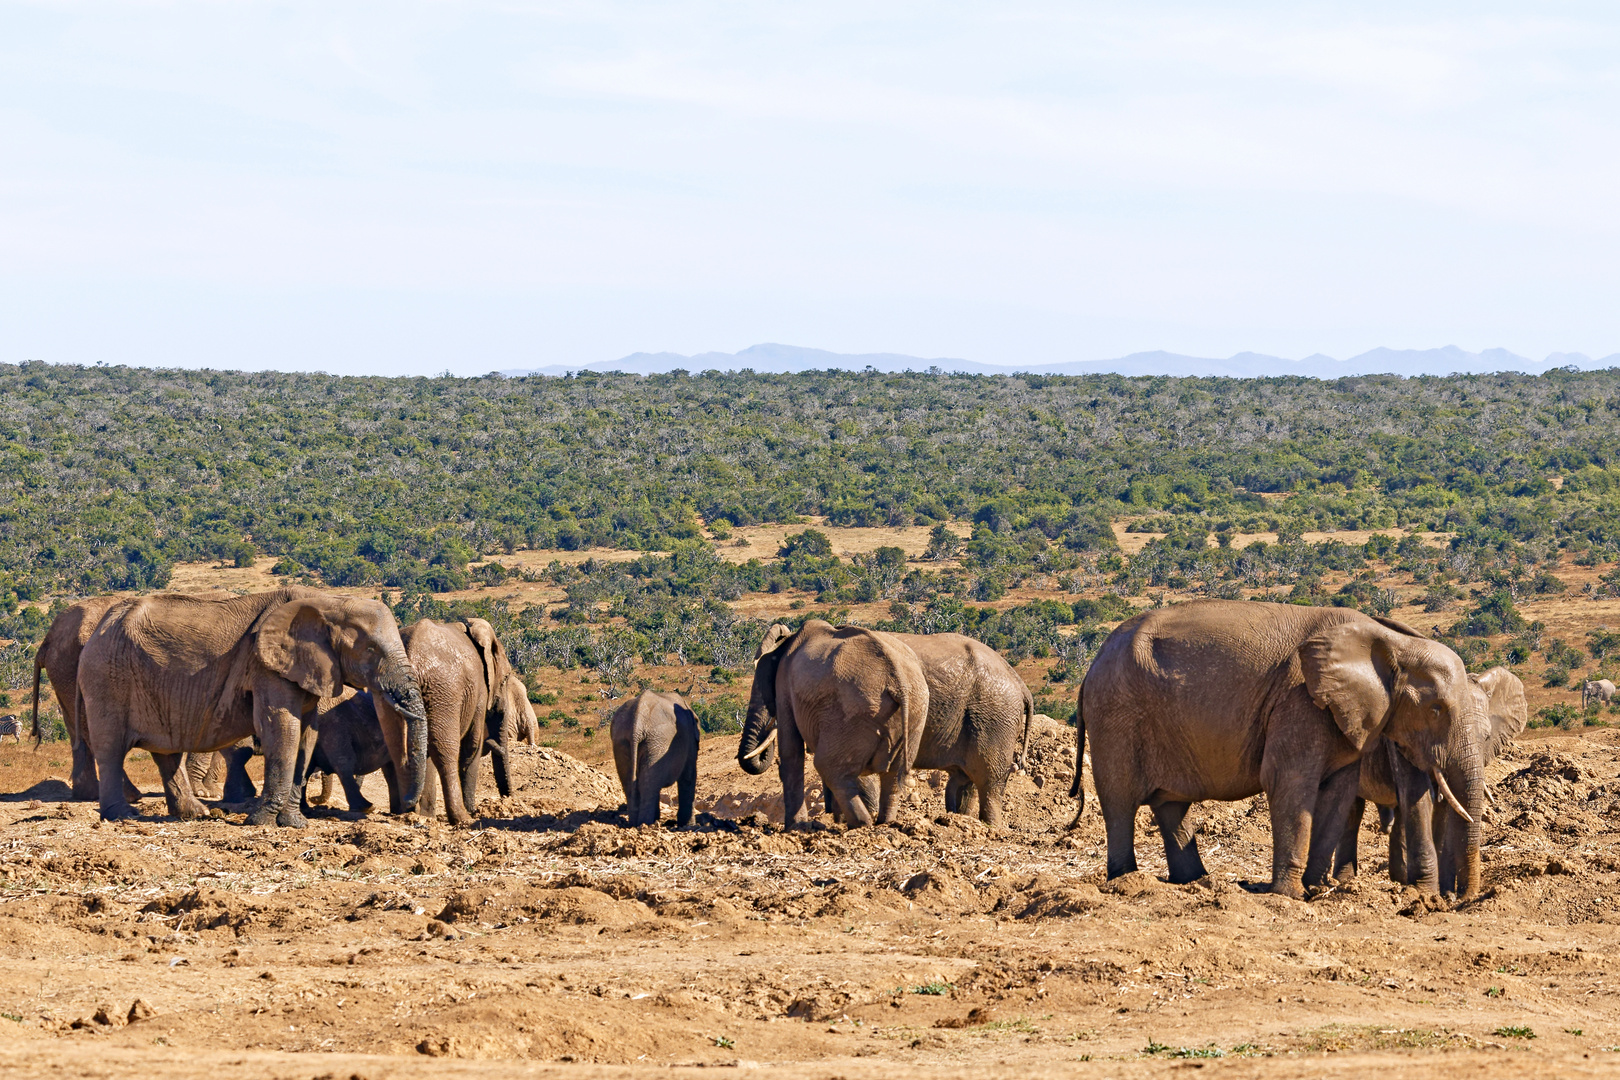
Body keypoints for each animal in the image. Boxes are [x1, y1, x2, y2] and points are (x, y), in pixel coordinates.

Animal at [76, 592, 430, 829]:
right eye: (370, 650)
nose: (405, 809)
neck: (329, 603)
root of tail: (101, 625)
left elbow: (306, 734)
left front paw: (293, 823)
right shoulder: (267, 667)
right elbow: (281, 728)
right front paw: (260, 821)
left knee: (167, 753)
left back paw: (194, 814)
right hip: (107, 676)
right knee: (111, 749)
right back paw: (122, 815)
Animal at [609, 689, 699, 835]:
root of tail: (637, 725)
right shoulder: (690, 741)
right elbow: (688, 777)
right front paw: (688, 827)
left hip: (623, 741)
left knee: (634, 784)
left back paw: (636, 824)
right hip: (658, 741)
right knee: (649, 785)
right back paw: (646, 824)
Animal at [735, 615, 926, 829]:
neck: (787, 641)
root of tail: (898, 681)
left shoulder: (785, 685)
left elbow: (790, 750)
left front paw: (795, 828)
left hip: (855, 712)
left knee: (829, 768)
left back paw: (861, 824)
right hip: (915, 710)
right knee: (893, 776)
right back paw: (882, 823)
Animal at [1069, 605, 1483, 900]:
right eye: (1436, 709)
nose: (1459, 901)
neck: (1388, 641)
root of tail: (1091, 668)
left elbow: (1339, 792)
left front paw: (1316, 891)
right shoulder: (1299, 700)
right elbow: (1288, 782)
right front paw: (1289, 895)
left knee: (1171, 804)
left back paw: (1196, 883)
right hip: (1116, 715)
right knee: (1120, 801)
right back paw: (1126, 883)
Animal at [1334, 667, 1522, 893]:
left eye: (1486, 738)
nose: (1466, 897)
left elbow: (1445, 808)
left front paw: (1445, 894)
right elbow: (1419, 793)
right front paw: (1434, 894)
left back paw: (1400, 881)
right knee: (1353, 809)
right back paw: (1344, 882)